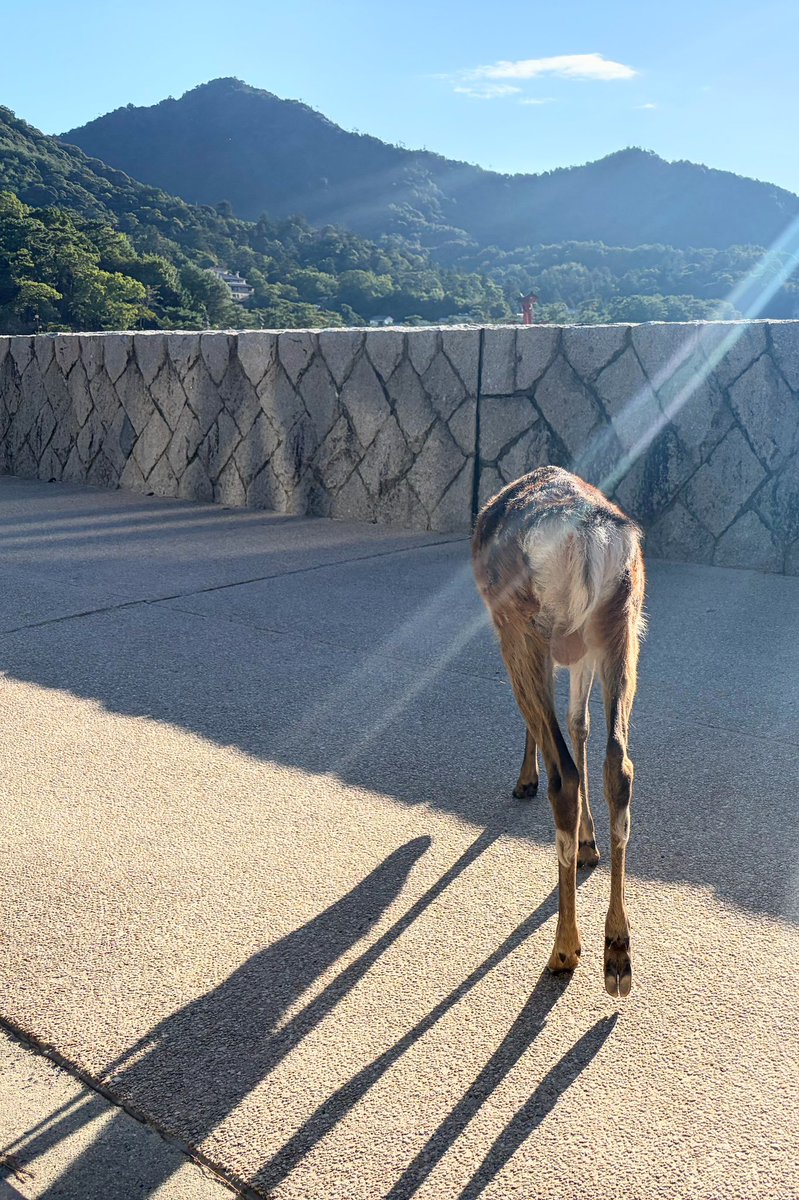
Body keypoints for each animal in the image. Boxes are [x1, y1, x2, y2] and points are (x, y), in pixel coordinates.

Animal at [472, 466, 645, 996]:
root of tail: (587, 539)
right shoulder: (581, 650)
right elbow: (579, 725)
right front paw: (590, 844)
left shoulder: (516, 635)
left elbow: (546, 728)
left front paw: (522, 780)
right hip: (621, 624)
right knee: (620, 763)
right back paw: (617, 954)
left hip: (523, 624)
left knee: (563, 774)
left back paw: (565, 949)